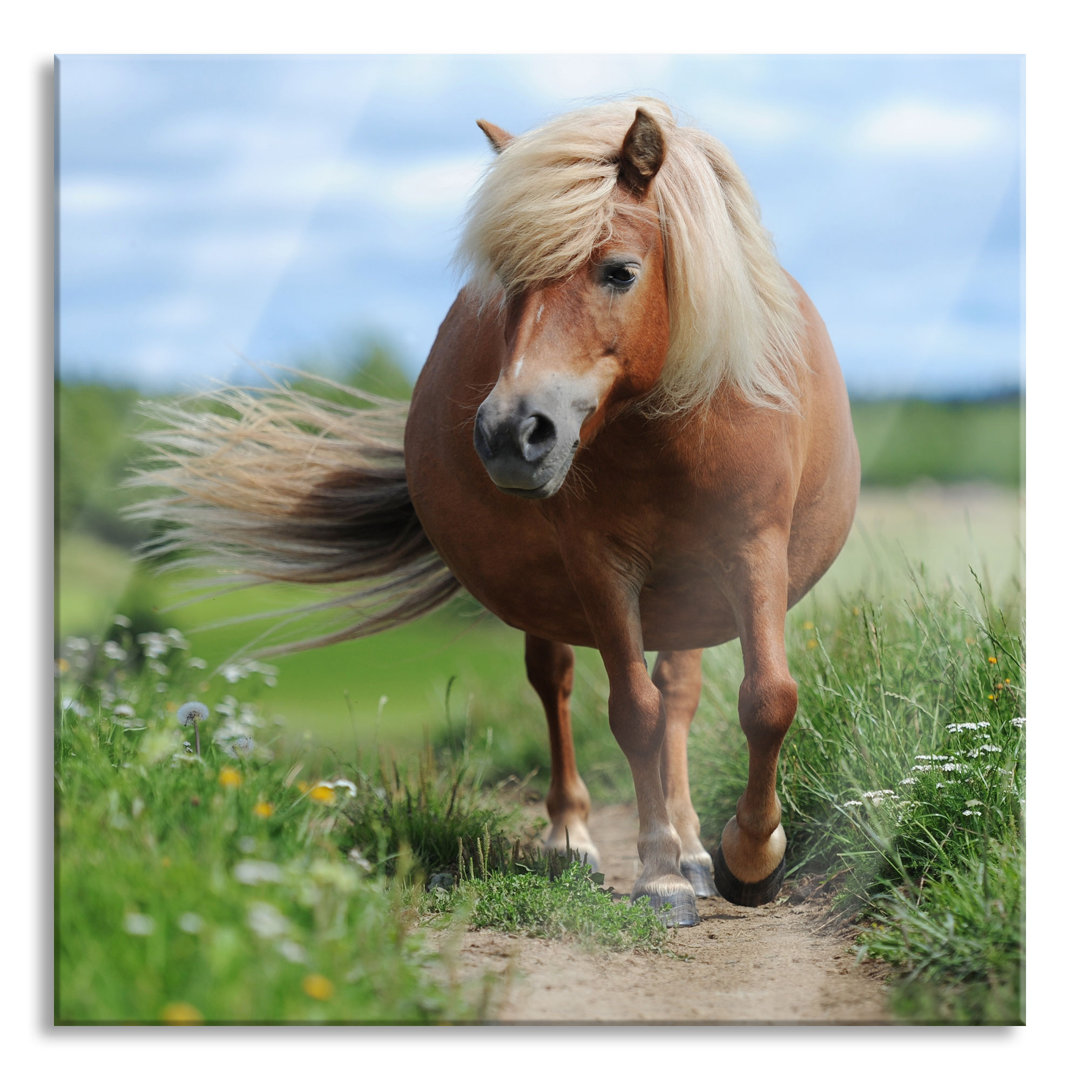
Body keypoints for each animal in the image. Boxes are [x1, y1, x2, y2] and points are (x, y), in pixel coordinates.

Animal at [137, 99, 859, 928]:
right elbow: (633, 712)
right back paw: (576, 842)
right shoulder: (599, 567)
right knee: (559, 684)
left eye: (620, 271)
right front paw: (659, 876)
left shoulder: (752, 550)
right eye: (509, 284)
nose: (513, 433)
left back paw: (694, 849)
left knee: (680, 692)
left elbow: (766, 699)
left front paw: (748, 859)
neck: (669, 428)